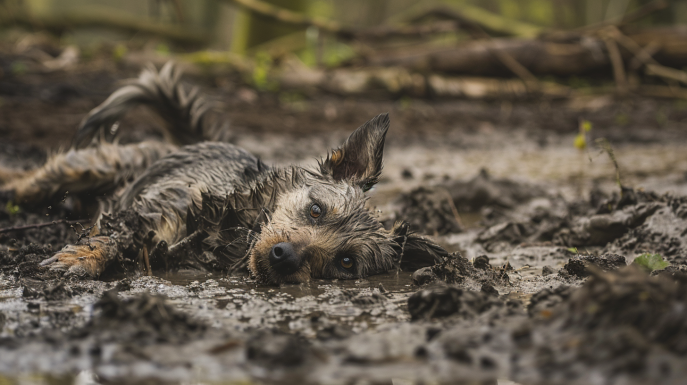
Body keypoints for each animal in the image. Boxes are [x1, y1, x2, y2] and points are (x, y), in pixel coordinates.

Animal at [1, 63, 446, 284]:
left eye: (347, 261)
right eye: (316, 210)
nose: (284, 257)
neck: (236, 234)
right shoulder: (145, 213)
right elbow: (112, 237)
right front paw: (82, 256)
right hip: (93, 166)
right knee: (34, 181)